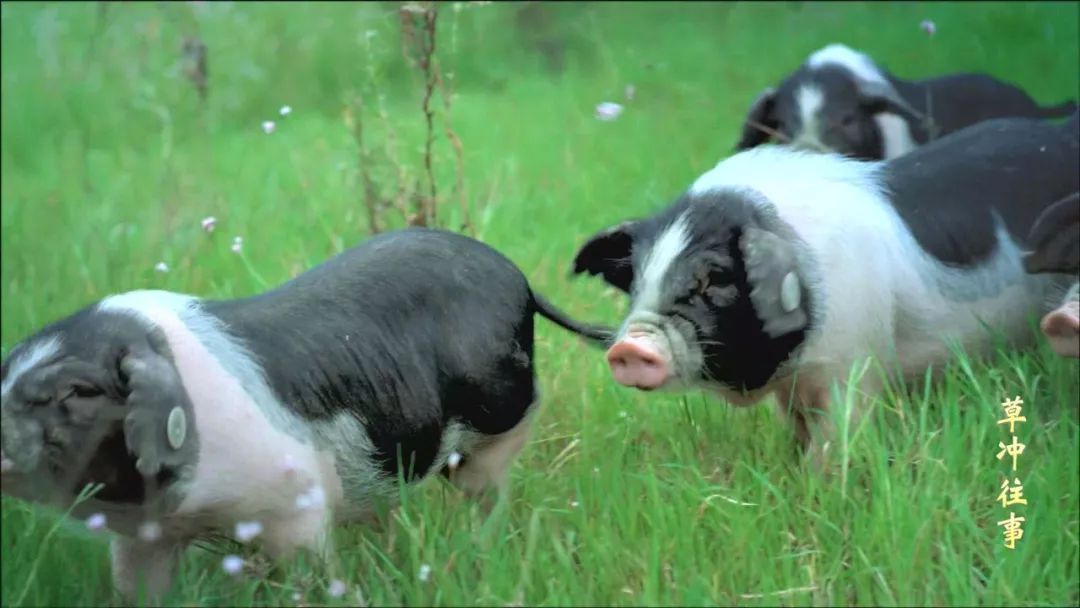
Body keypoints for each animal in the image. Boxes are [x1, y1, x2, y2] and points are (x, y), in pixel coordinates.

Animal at [0, 226, 613, 600]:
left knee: (489, 490)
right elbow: (137, 586)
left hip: (498, 421)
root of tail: (520, 278)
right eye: (5, 371)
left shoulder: (295, 500)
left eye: (77, 390)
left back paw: (483, 543)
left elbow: (311, 569)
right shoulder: (143, 539)